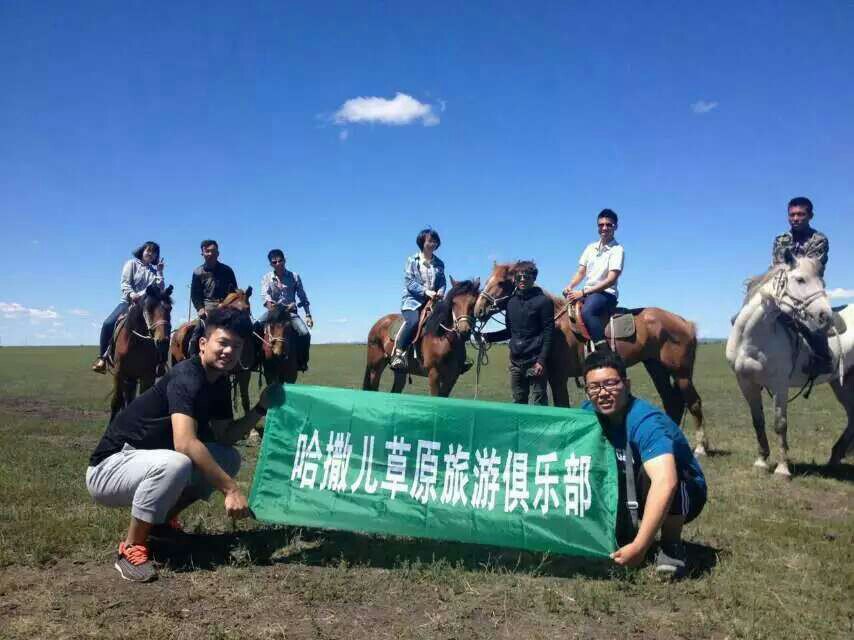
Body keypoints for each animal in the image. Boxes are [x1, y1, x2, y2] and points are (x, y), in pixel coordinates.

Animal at [110, 284, 174, 420]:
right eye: (149, 309)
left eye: (169, 308)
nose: (163, 341)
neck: (135, 342)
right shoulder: (119, 374)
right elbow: (115, 402)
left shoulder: (148, 376)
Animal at [474, 262, 708, 456]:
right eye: (487, 280)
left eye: (501, 282)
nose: (478, 309)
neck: (556, 325)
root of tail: (685, 323)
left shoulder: (558, 377)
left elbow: (562, 406)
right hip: (656, 368)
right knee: (672, 401)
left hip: (681, 373)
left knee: (694, 402)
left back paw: (700, 448)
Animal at [728, 252, 854, 478]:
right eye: (800, 279)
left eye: (822, 282)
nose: (826, 316)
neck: (751, 338)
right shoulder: (745, 382)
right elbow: (758, 421)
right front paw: (761, 461)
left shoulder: (780, 385)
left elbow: (780, 424)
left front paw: (782, 468)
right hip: (842, 383)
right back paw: (835, 457)